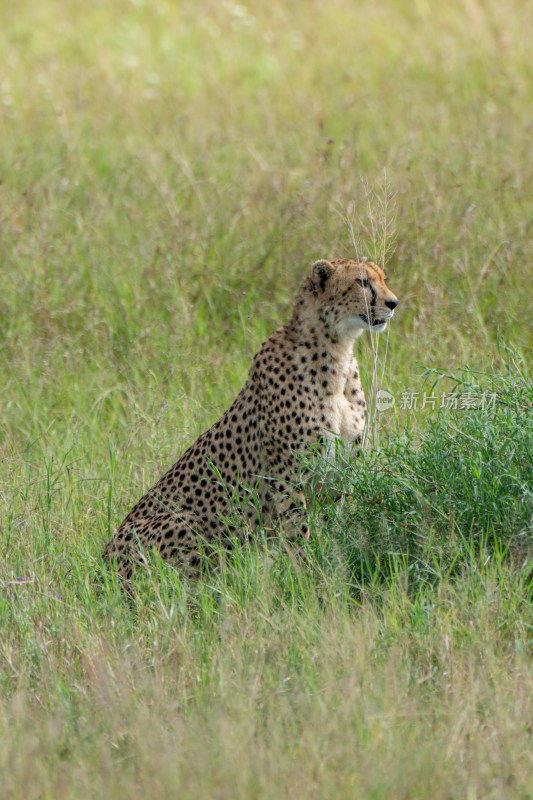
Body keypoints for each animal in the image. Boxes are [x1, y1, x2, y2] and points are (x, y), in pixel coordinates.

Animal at [103, 260, 400, 580]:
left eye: (384, 279)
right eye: (361, 282)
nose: (393, 302)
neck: (336, 353)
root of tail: (104, 560)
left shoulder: (338, 471)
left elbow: (334, 525)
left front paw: (332, 559)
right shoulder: (287, 473)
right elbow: (298, 530)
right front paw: (304, 572)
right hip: (186, 520)